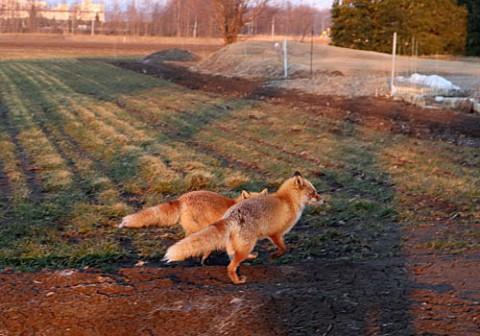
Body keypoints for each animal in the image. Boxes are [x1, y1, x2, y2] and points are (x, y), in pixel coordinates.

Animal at [164, 172, 322, 284]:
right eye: (313, 192)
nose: (323, 200)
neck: (288, 200)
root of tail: (231, 214)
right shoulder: (275, 233)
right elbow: (284, 248)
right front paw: (273, 256)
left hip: (237, 243)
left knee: (230, 257)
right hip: (245, 244)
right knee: (230, 265)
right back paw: (237, 281)